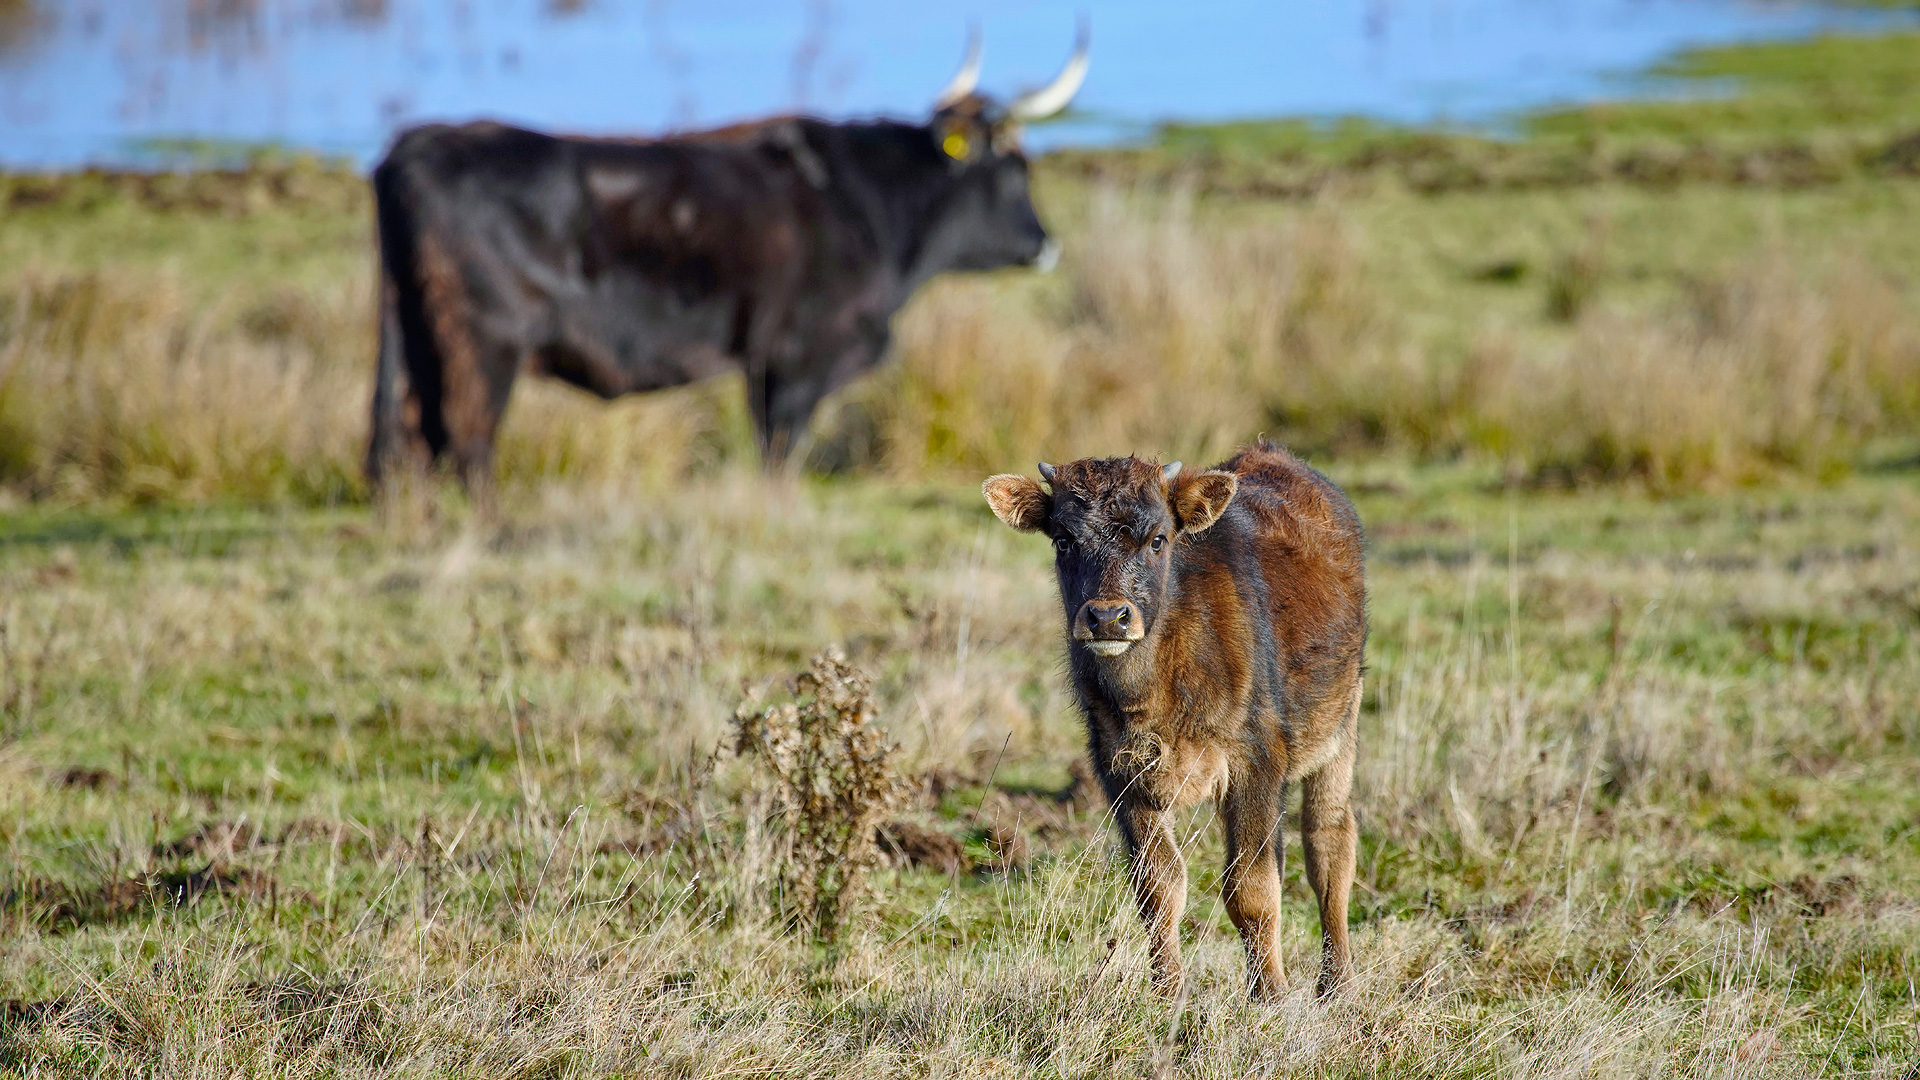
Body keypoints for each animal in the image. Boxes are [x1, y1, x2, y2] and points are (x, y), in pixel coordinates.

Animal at [366, 25, 1090, 495]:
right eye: (1014, 167)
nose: (1048, 243)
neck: (865, 199)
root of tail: (416, 142)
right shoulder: (798, 360)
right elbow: (779, 453)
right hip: (484, 343)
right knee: (465, 439)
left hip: (418, 336)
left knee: (409, 442)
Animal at [990, 441, 1367, 999]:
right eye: (1062, 539)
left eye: (1158, 539)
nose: (1107, 617)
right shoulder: (1122, 774)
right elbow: (1157, 886)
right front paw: (1167, 992)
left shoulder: (1256, 764)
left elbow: (1252, 887)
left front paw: (1270, 995)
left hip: (1341, 730)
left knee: (1329, 843)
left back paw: (1337, 982)